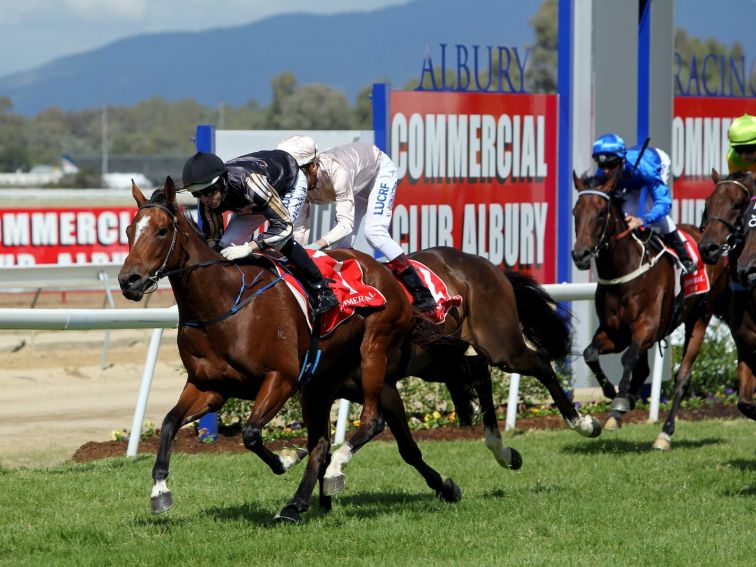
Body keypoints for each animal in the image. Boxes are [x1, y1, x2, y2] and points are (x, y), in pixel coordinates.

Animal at [118, 179, 472, 524]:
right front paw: (160, 490)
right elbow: (169, 422)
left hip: (374, 349)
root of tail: (388, 273)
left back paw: (334, 473)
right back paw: (300, 503)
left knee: (371, 422)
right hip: (322, 384)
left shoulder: (282, 378)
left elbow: (251, 433)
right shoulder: (210, 387)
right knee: (329, 442)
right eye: (129, 230)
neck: (223, 304)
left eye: (162, 230)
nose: (128, 281)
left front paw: (287, 458)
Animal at [572, 171, 732, 446]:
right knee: (643, 368)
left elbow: (627, 358)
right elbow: (590, 353)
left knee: (682, 378)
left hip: (700, 318)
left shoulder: (646, 328)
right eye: (575, 212)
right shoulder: (616, 333)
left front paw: (619, 402)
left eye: (601, 213)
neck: (623, 271)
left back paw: (665, 432)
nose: (580, 255)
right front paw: (613, 392)